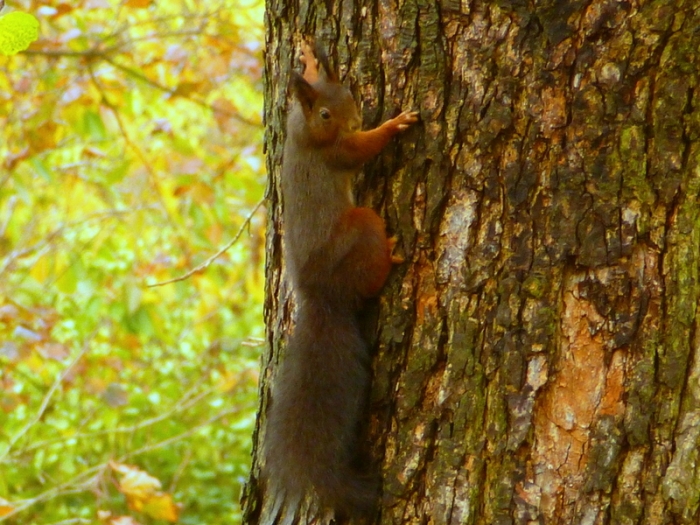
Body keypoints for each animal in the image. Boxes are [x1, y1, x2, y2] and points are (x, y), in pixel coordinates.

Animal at [262, 41, 419, 519]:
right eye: (326, 114)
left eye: (347, 90)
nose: (354, 117)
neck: (305, 131)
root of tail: (321, 295)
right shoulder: (337, 153)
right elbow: (362, 149)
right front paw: (393, 125)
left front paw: (310, 62)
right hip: (359, 227)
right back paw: (393, 254)